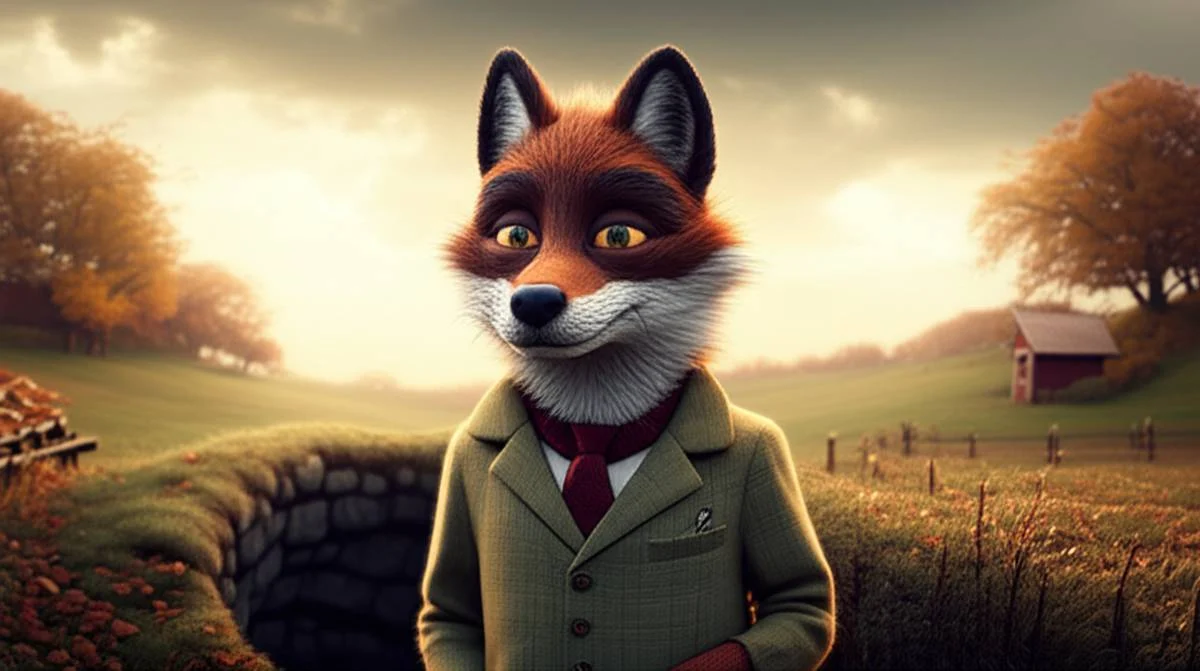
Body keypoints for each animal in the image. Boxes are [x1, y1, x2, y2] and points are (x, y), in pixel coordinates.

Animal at [419, 45, 835, 671]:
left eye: (619, 236)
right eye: (516, 236)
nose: (534, 302)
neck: (594, 428)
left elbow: (801, 600)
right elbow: (448, 608)